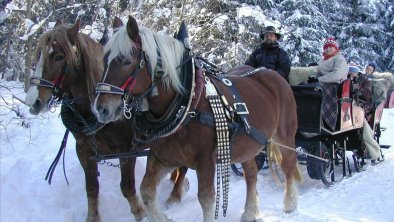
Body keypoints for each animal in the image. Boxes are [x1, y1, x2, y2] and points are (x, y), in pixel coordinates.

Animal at [24, 19, 188, 222]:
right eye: (39, 54)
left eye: (59, 56)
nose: (32, 101)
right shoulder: (84, 150)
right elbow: (92, 187)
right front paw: (93, 217)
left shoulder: (127, 150)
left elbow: (127, 187)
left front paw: (140, 212)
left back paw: (175, 195)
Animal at [92, 16, 302, 222]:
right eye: (104, 60)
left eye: (126, 61)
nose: (100, 109)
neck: (188, 104)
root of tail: (271, 74)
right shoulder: (163, 156)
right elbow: (146, 191)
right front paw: (161, 217)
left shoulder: (205, 160)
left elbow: (207, 199)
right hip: (246, 144)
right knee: (251, 174)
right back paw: (250, 212)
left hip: (284, 136)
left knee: (288, 165)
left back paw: (290, 204)